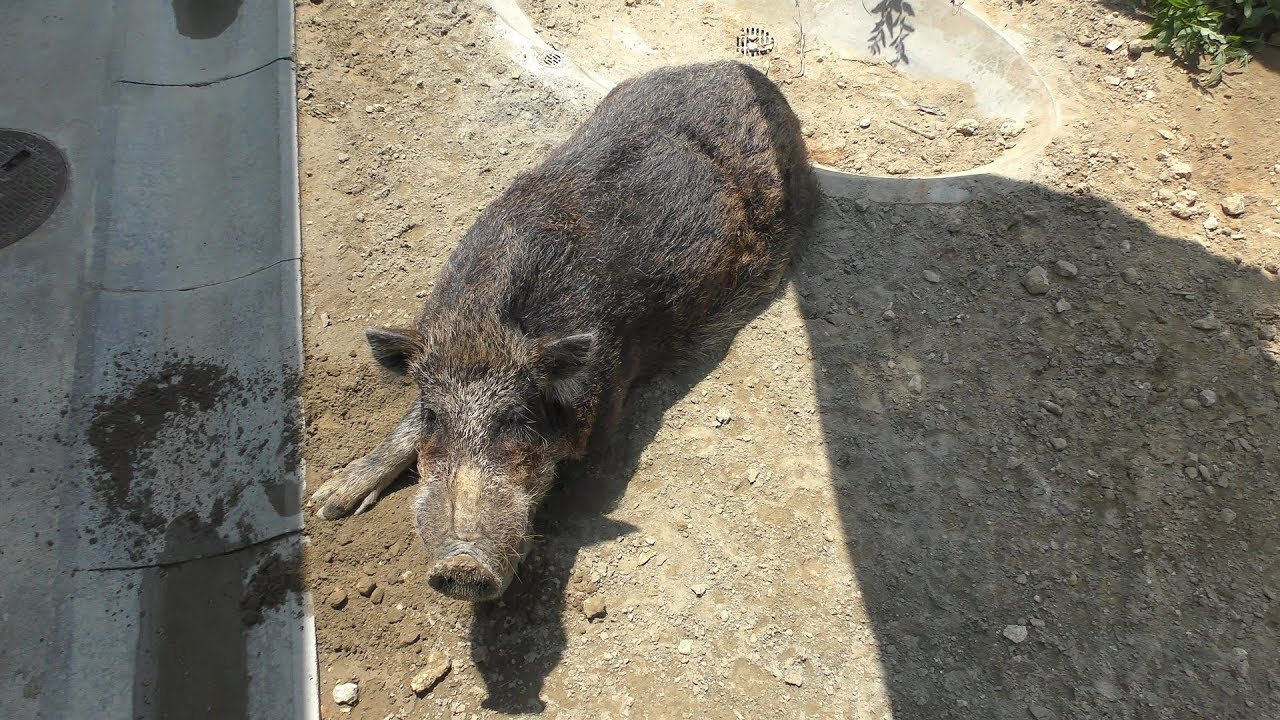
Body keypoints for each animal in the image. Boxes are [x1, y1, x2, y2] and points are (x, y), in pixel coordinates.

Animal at [310, 60, 818, 601]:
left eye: (517, 418)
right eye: (434, 417)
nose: (461, 566)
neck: (483, 323)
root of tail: (745, 72)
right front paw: (326, 505)